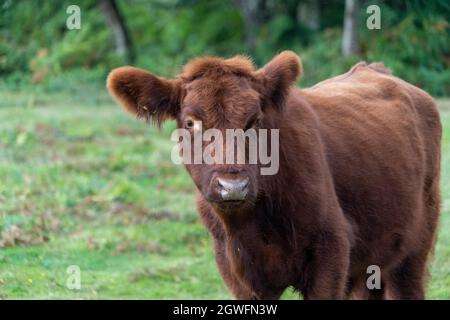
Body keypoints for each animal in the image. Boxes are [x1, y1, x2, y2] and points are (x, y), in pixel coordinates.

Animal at [107, 51, 442, 298]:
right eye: (190, 122)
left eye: (254, 120)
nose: (233, 185)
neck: (252, 223)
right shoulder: (236, 271)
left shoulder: (330, 255)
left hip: (414, 250)